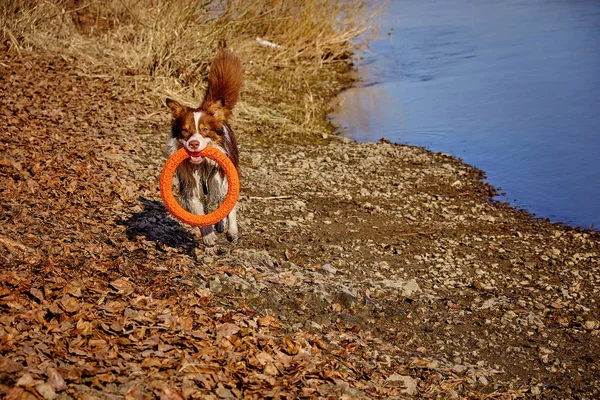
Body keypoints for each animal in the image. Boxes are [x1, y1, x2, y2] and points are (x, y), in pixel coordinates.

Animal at [165, 49, 243, 244]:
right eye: (185, 131)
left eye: (205, 130)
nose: (194, 143)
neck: (202, 165)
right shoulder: (190, 185)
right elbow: (199, 211)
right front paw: (208, 236)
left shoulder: (223, 179)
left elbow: (230, 206)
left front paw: (232, 231)